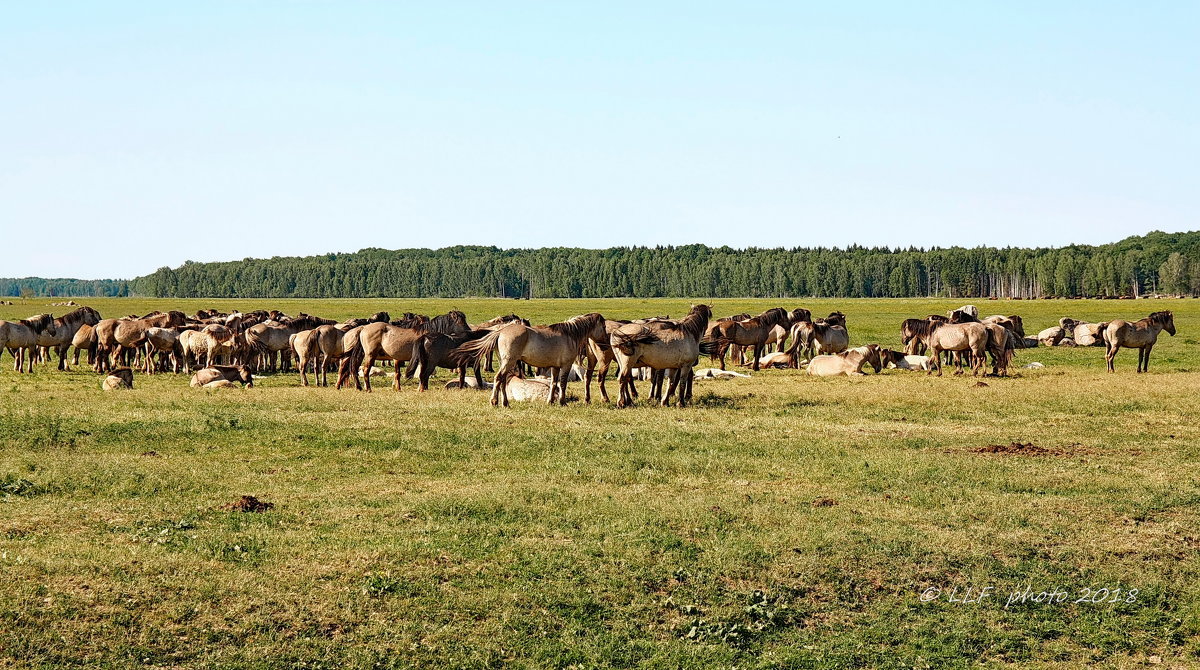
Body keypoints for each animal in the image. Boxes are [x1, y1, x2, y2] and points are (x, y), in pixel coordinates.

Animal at [451, 314, 609, 408]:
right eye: (604, 326)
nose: (606, 344)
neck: (570, 335)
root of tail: (500, 331)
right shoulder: (565, 365)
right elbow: (563, 384)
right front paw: (562, 402)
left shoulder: (555, 367)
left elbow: (554, 383)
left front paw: (550, 401)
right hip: (508, 362)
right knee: (498, 378)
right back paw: (495, 401)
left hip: (506, 363)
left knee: (502, 380)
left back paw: (505, 403)